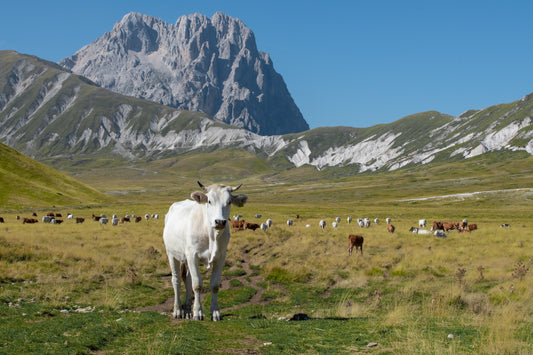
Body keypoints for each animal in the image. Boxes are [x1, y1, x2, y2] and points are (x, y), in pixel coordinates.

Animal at [162, 182, 247, 322]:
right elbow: (197, 285)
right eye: (209, 201)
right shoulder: (192, 255)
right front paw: (198, 312)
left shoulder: (220, 256)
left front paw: (215, 312)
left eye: (229, 201)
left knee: (188, 280)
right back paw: (178, 310)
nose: (220, 221)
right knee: (176, 280)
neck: (211, 234)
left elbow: (214, 284)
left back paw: (187, 311)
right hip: (171, 254)